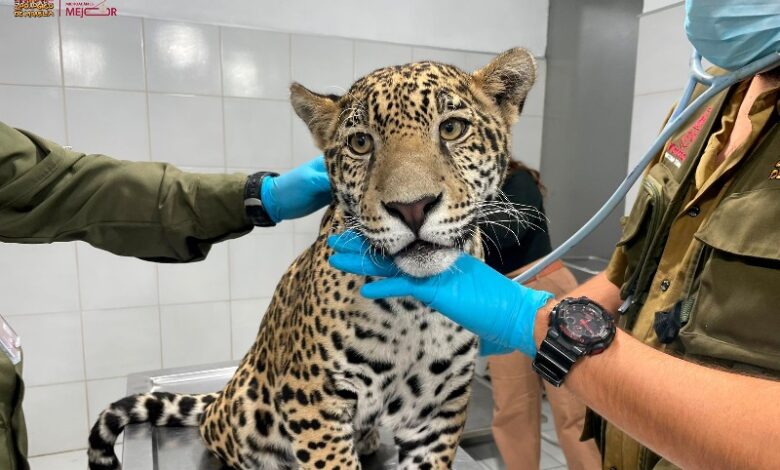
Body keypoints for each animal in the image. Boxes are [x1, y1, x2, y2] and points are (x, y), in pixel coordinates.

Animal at [86, 47, 537, 470]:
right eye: (360, 143)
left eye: (452, 128)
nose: (412, 208)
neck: (415, 309)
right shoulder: (314, 400)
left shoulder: (438, 413)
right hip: (247, 417)